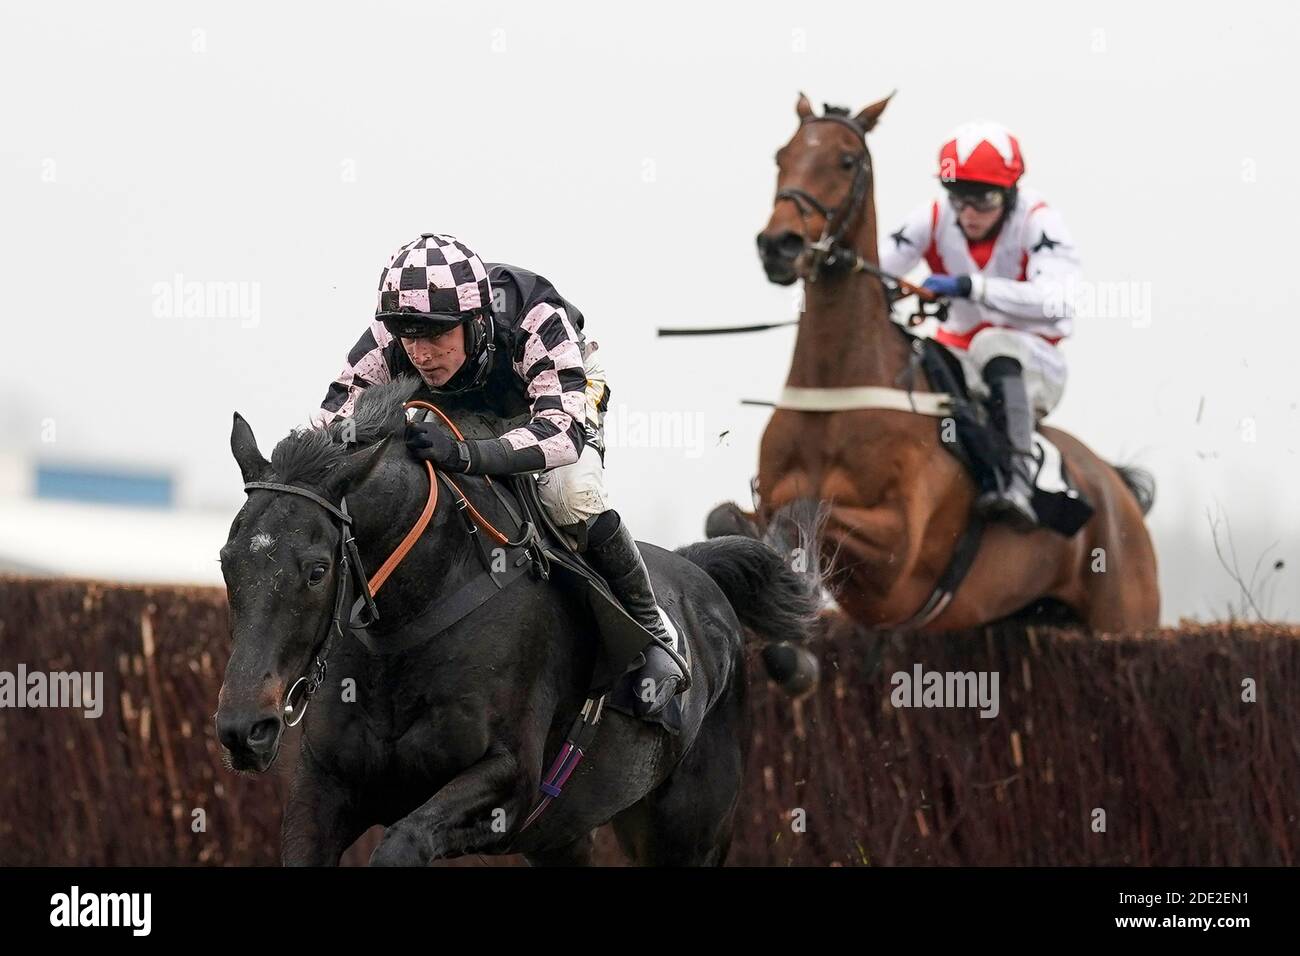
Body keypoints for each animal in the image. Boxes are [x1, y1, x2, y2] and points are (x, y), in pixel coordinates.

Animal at [217, 382, 816, 868]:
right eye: (227, 561)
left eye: (318, 570)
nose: (244, 729)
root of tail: (702, 570)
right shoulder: (323, 789)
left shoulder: (510, 786)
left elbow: (401, 844)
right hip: (567, 836)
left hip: (691, 832)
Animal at [722, 95, 1159, 634]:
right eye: (781, 156)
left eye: (847, 160)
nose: (779, 244)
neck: (837, 390)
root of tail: (1116, 484)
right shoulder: (768, 498)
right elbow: (732, 518)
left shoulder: (897, 556)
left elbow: (807, 511)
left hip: (1125, 615)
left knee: (1001, 351)